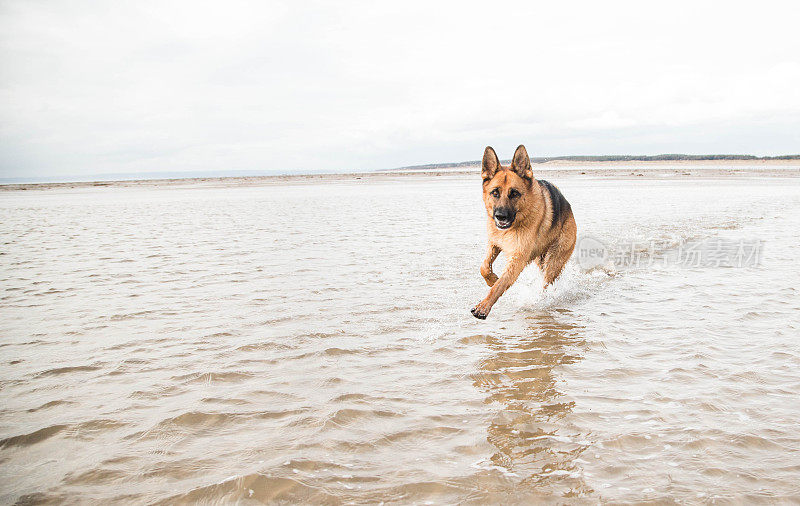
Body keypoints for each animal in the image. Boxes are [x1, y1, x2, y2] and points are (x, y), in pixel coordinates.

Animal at [468, 144, 576, 318]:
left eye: (514, 194)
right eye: (495, 193)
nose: (501, 216)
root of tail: (568, 205)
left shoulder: (517, 259)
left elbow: (500, 285)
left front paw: (483, 306)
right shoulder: (494, 243)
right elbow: (484, 267)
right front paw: (492, 279)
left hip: (553, 260)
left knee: (546, 282)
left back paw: (541, 300)